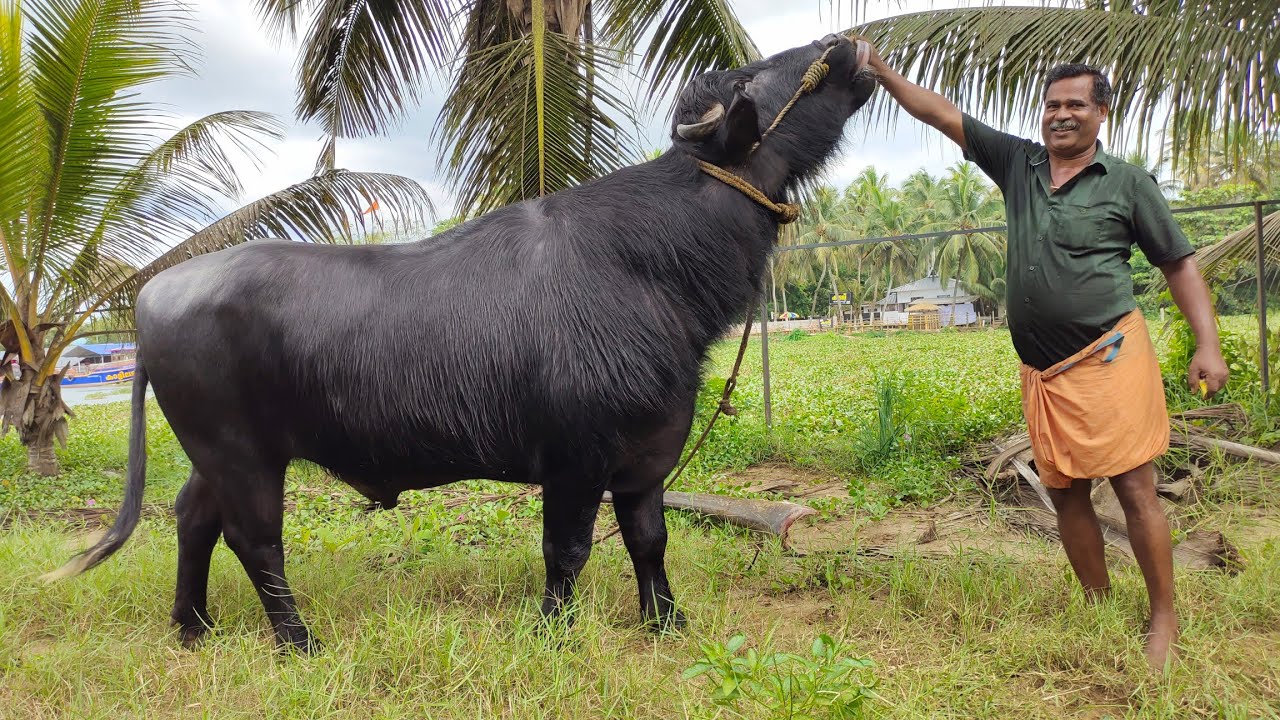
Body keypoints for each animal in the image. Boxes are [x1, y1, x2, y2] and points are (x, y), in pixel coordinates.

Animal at [51, 35, 877, 651]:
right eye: (752, 75)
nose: (842, 46)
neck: (652, 266)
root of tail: (153, 294)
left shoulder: (647, 459)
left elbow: (650, 541)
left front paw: (666, 622)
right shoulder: (576, 460)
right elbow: (568, 550)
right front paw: (552, 630)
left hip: (217, 453)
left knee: (192, 518)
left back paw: (193, 625)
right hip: (241, 455)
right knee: (255, 541)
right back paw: (298, 640)